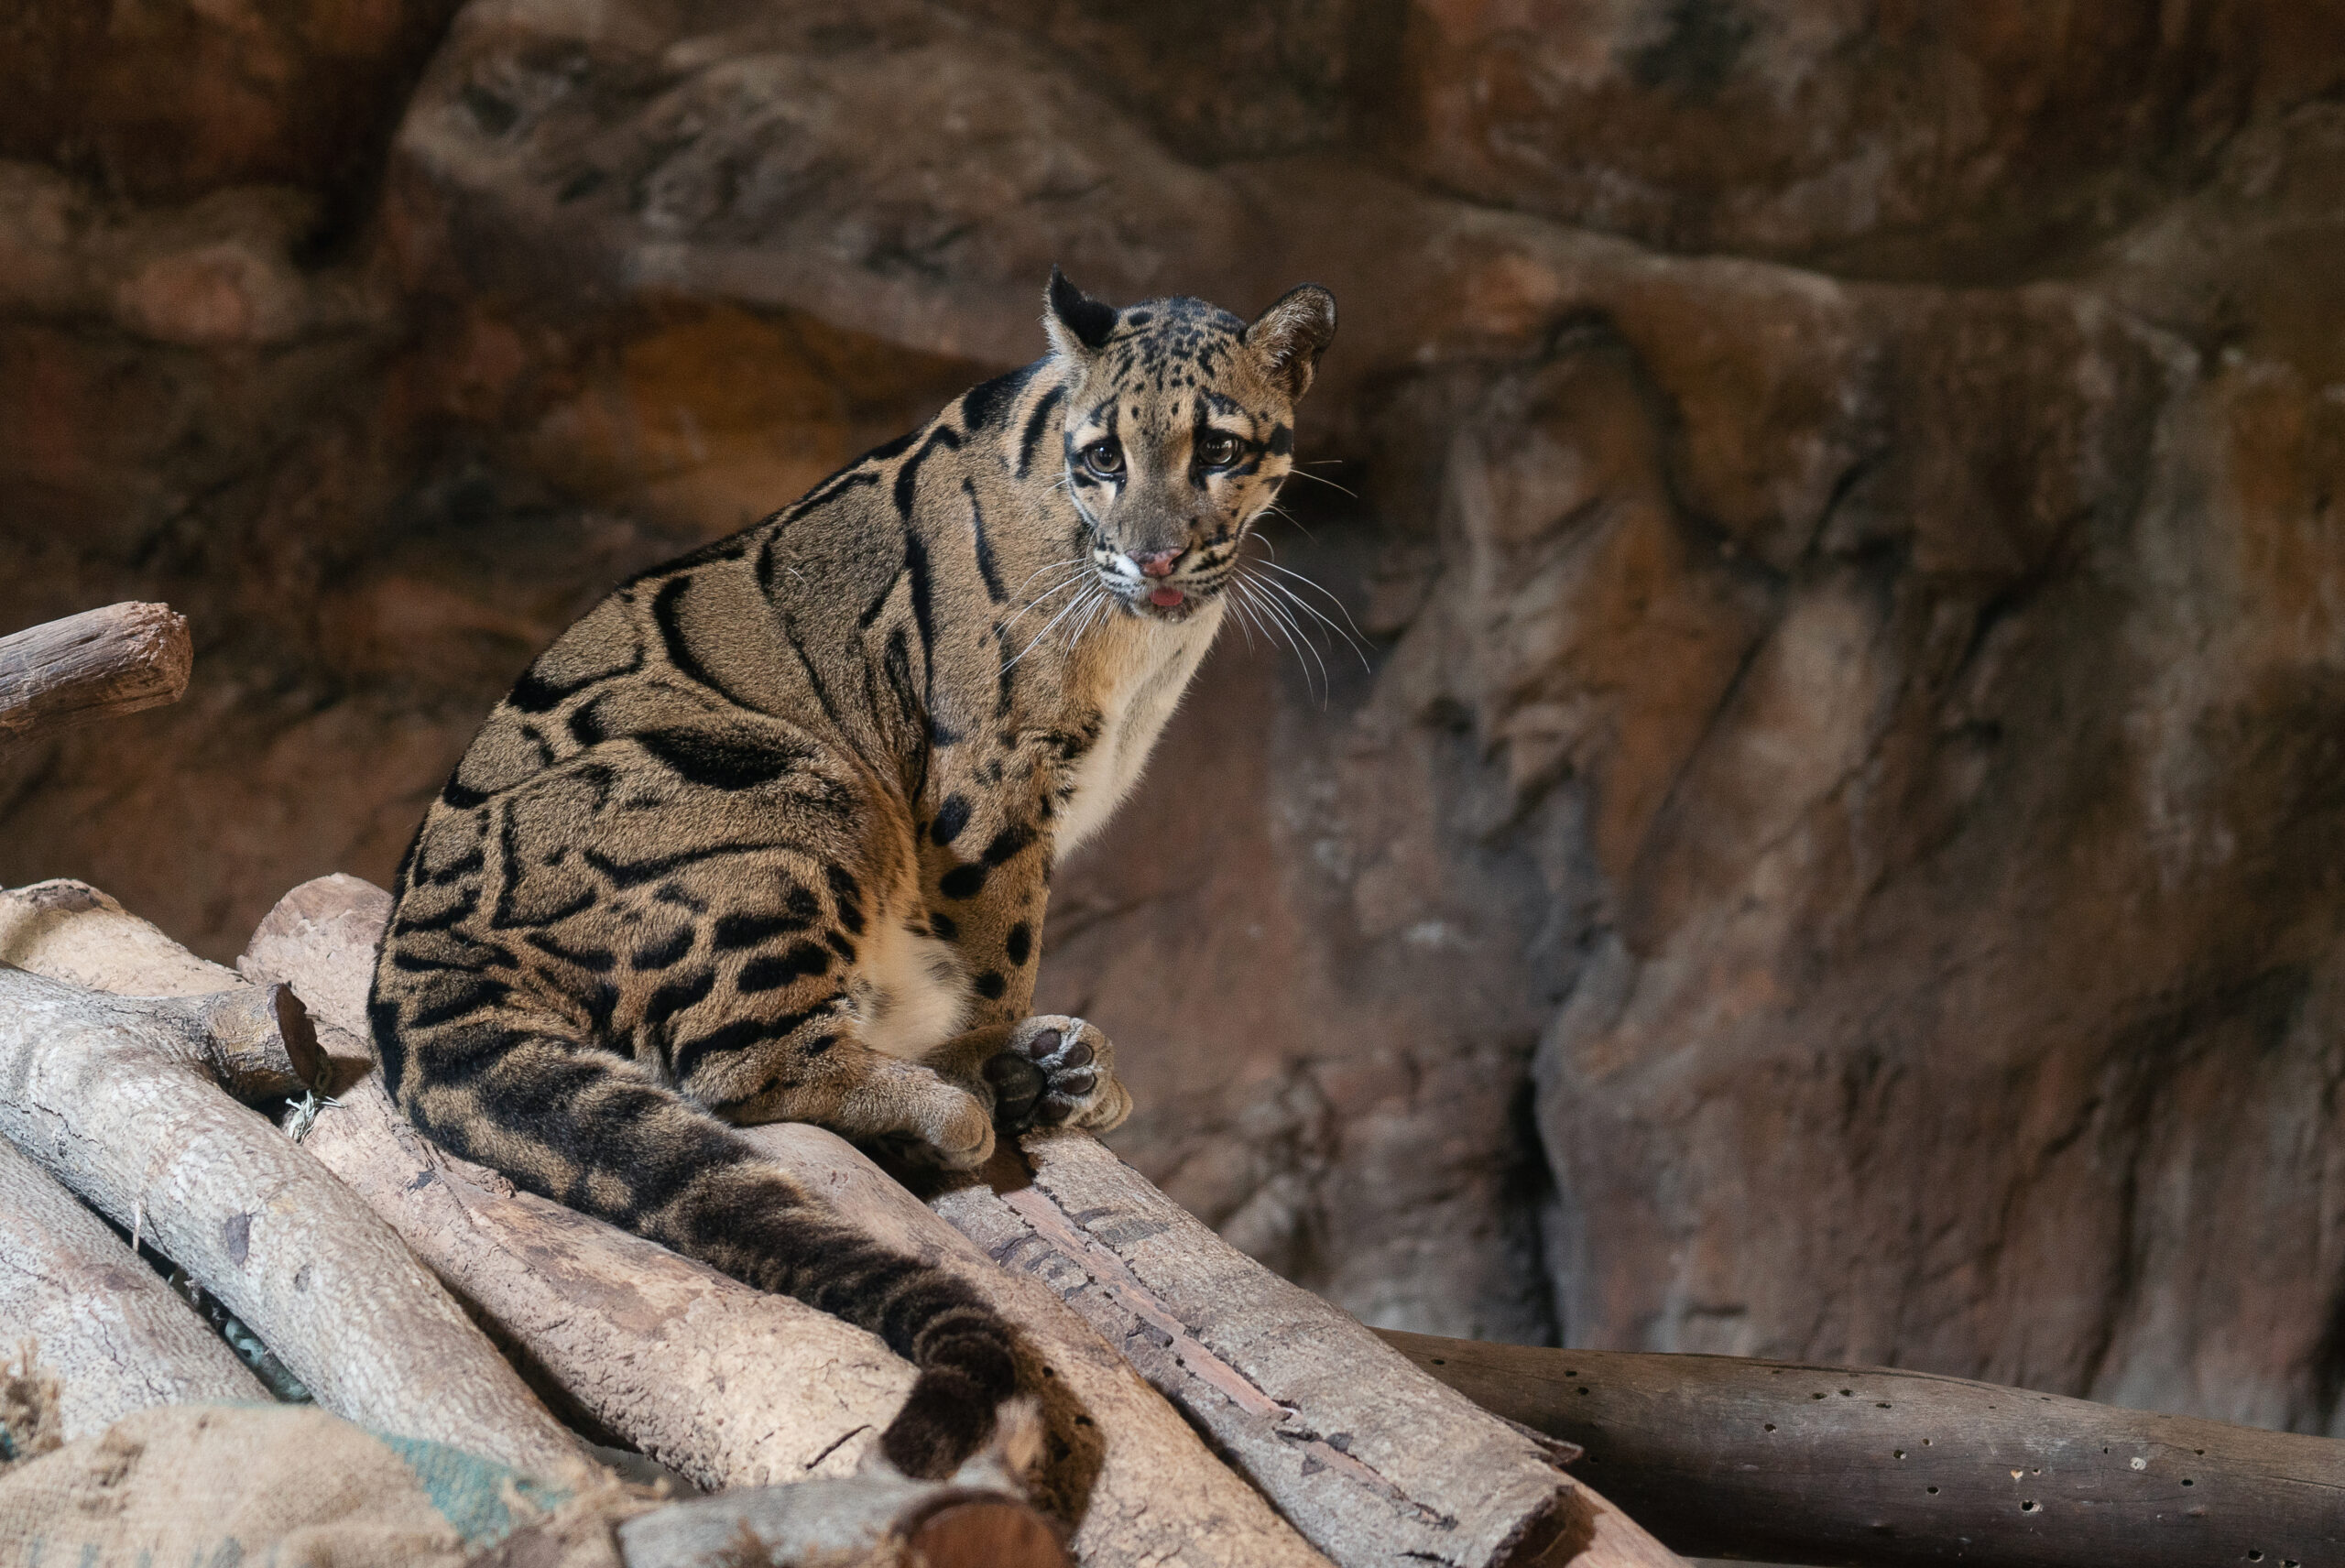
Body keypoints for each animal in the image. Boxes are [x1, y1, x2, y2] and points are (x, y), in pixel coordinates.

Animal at [367, 266, 1341, 1472]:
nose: (1157, 554)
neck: (1143, 637)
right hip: (795, 791)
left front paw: (1036, 1061)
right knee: (731, 1067)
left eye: (1216, 447)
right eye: (1104, 458)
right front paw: (991, 1069)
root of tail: (408, 955)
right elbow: (998, 948)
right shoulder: (985, 780)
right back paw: (949, 1107)